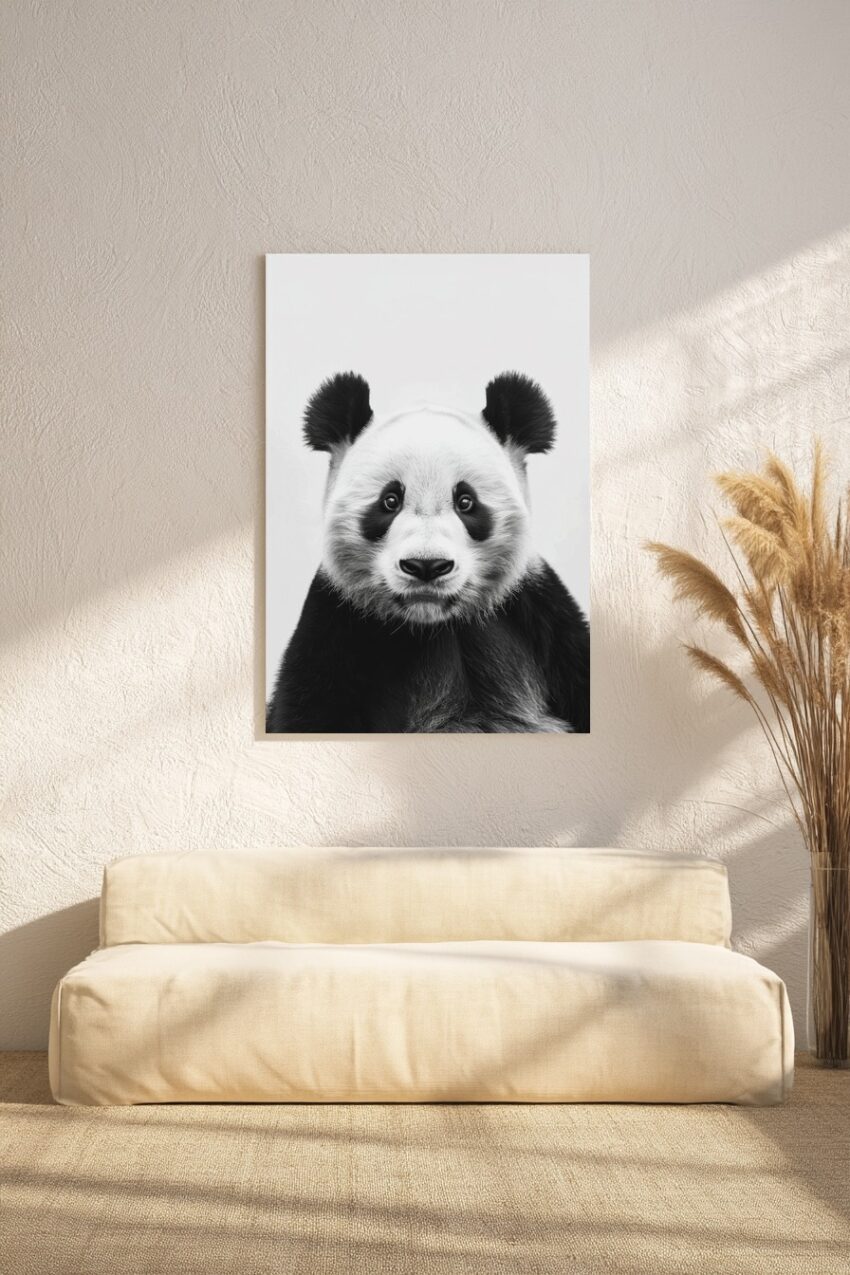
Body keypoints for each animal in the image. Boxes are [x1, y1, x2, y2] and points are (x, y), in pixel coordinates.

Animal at [266, 371, 589, 734]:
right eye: (389, 501)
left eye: (466, 502)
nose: (426, 566)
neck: (432, 626)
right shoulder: (337, 624)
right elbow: (310, 706)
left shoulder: (537, 611)